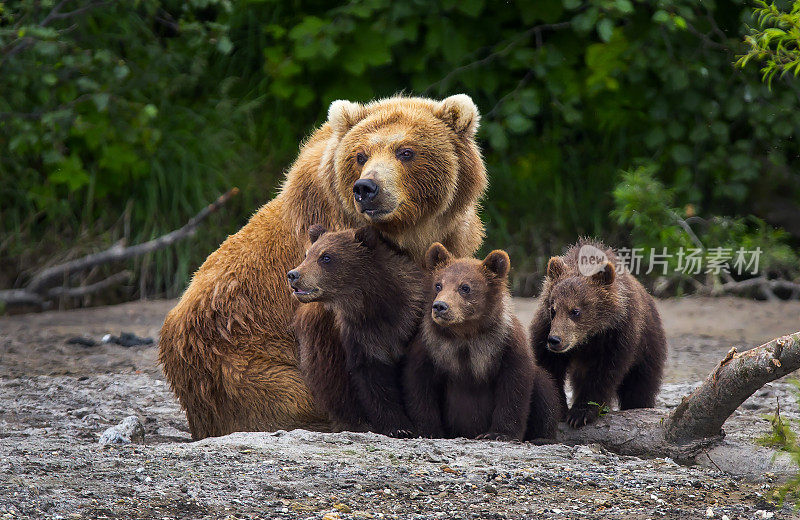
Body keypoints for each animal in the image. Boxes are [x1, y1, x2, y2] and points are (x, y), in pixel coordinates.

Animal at [159, 94, 488, 438]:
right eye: (360, 155)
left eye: (406, 151)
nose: (366, 188)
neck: (408, 235)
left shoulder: (449, 241)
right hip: (239, 363)